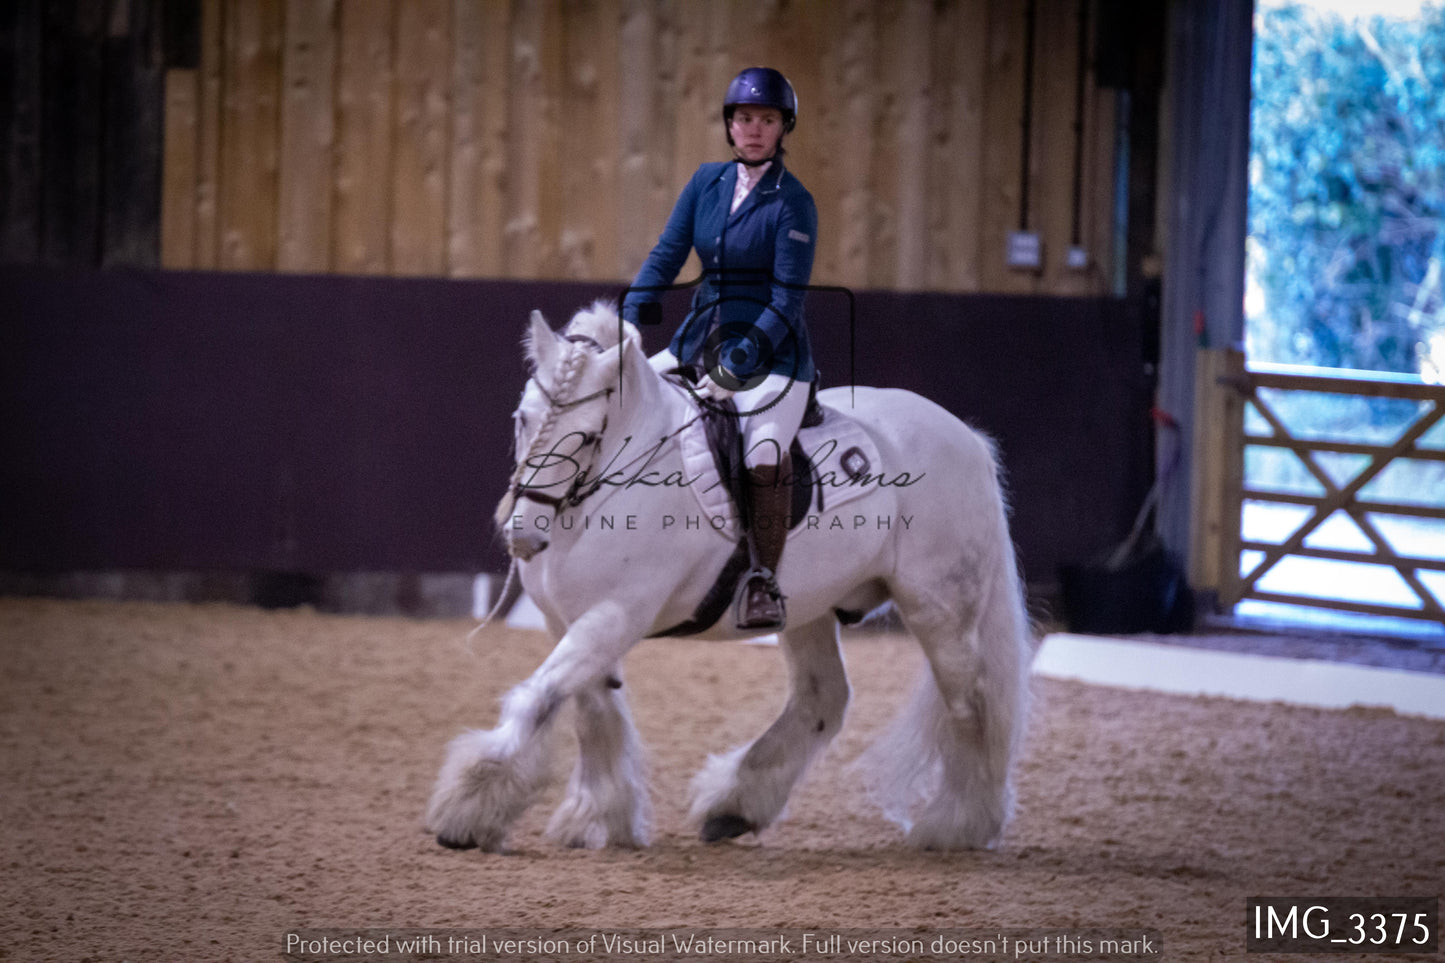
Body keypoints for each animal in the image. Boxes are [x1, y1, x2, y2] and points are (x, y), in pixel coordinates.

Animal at [421, 300, 1034, 850]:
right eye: (521, 418)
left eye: (590, 436)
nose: (524, 535)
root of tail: (966, 437)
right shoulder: (567, 623)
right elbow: (591, 714)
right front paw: (600, 819)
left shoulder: (614, 616)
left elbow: (540, 698)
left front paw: (468, 808)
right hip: (808, 609)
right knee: (822, 699)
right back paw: (734, 807)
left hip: (940, 608)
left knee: (972, 703)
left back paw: (958, 825)